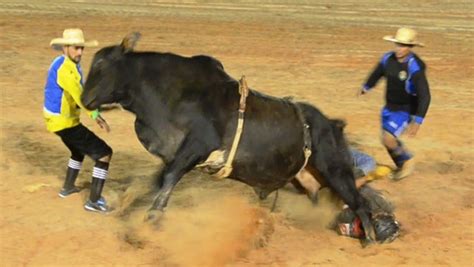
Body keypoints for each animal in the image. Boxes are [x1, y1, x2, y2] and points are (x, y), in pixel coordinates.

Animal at [82, 32, 378, 244]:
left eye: (100, 64)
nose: (84, 99)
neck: (172, 93)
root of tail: (332, 125)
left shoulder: (197, 146)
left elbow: (170, 177)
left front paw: (153, 217)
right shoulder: (175, 154)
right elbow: (160, 179)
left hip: (337, 170)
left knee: (359, 203)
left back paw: (372, 238)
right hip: (305, 180)